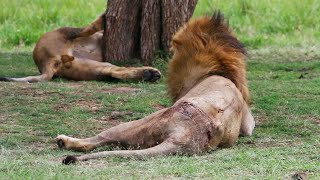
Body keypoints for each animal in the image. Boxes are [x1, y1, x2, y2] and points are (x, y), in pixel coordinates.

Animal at [0, 14, 160, 82]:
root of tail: (46, 63)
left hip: (91, 68)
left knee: (115, 71)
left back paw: (149, 74)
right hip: (62, 32)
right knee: (86, 29)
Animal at [55, 11, 255, 165]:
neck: (217, 70)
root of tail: (186, 135)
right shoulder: (248, 124)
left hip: (146, 122)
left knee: (97, 140)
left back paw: (64, 142)